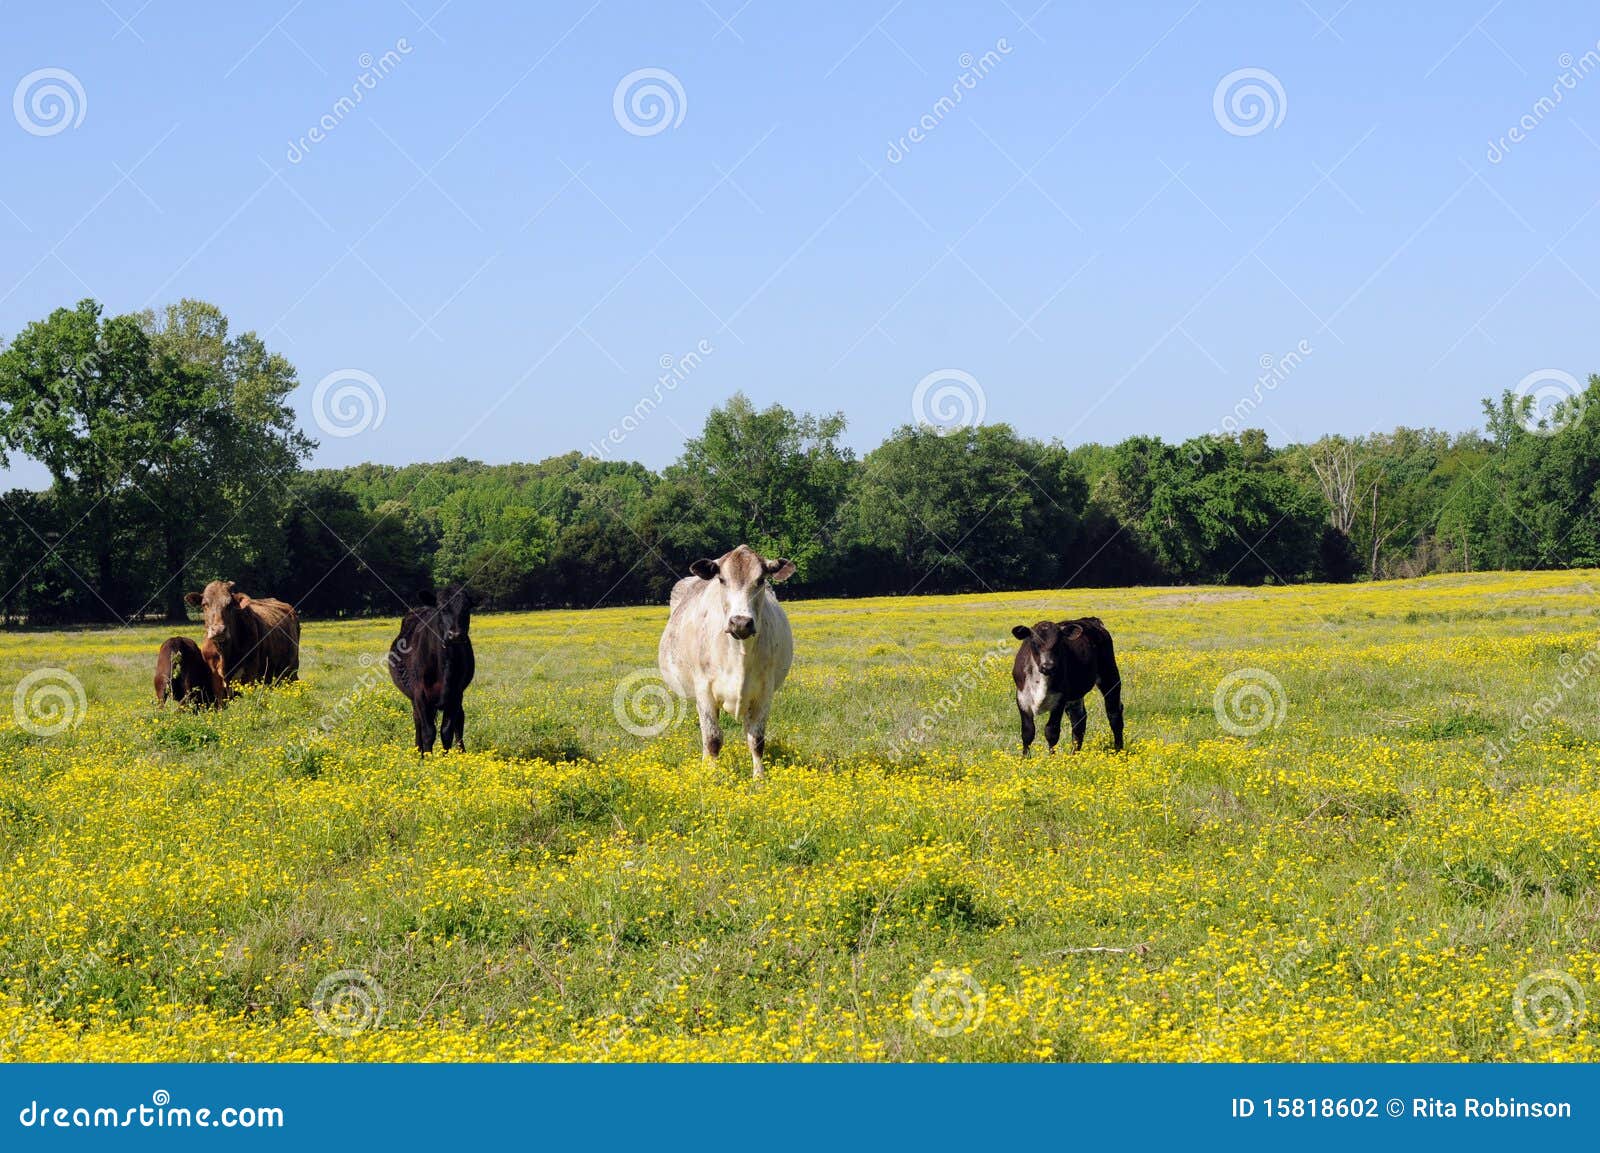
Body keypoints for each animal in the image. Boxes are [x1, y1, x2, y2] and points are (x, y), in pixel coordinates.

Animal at [387, 585, 475, 753]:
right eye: (441, 608)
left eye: (467, 608)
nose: (455, 635)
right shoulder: (420, 693)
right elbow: (428, 731)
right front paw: (427, 757)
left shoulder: (456, 693)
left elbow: (446, 731)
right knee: (417, 720)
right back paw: (418, 751)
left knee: (460, 718)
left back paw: (462, 751)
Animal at [658, 544, 795, 778]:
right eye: (721, 579)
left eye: (760, 580)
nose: (740, 622)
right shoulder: (704, 690)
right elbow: (712, 739)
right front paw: (710, 775)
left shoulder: (764, 693)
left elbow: (756, 740)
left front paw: (759, 778)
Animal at [1010, 617, 1124, 755]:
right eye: (1034, 643)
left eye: (1058, 643)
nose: (1048, 666)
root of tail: (1090, 620)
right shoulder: (1022, 697)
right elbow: (1027, 732)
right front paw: (1025, 758)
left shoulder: (1060, 699)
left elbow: (1051, 731)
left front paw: (1051, 758)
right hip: (1076, 694)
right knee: (1079, 720)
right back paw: (1074, 755)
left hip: (1110, 675)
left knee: (1114, 713)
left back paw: (1119, 750)